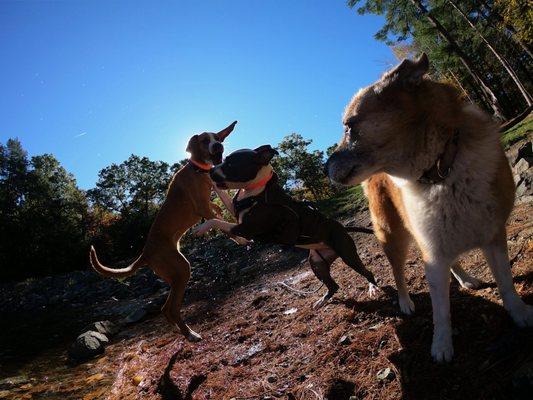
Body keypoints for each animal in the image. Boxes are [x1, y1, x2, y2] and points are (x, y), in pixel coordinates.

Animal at [90, 121, 236, 340]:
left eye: (218, 138)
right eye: (205, 140)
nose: (218, 146)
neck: (197, 170)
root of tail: (145, 254)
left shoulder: (211, 201)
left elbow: (220, 211)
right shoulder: (202, 208)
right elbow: (219, 221)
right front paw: (240, 238)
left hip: (175, 274)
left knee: (166, 310)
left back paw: (182, 332)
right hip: (182, 269)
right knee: (171, 309)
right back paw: (191, 334)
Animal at [326, 54, 528, 362]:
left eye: (349, 126)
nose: (324, 168)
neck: (442, 169)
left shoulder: (492, 236)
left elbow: (505, 283)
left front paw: (520, 314)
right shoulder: (432, 251)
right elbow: (440, 310)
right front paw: (442, 345)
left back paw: (465, 278)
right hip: (393, 236)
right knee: (398, 272)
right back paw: (405, 301)